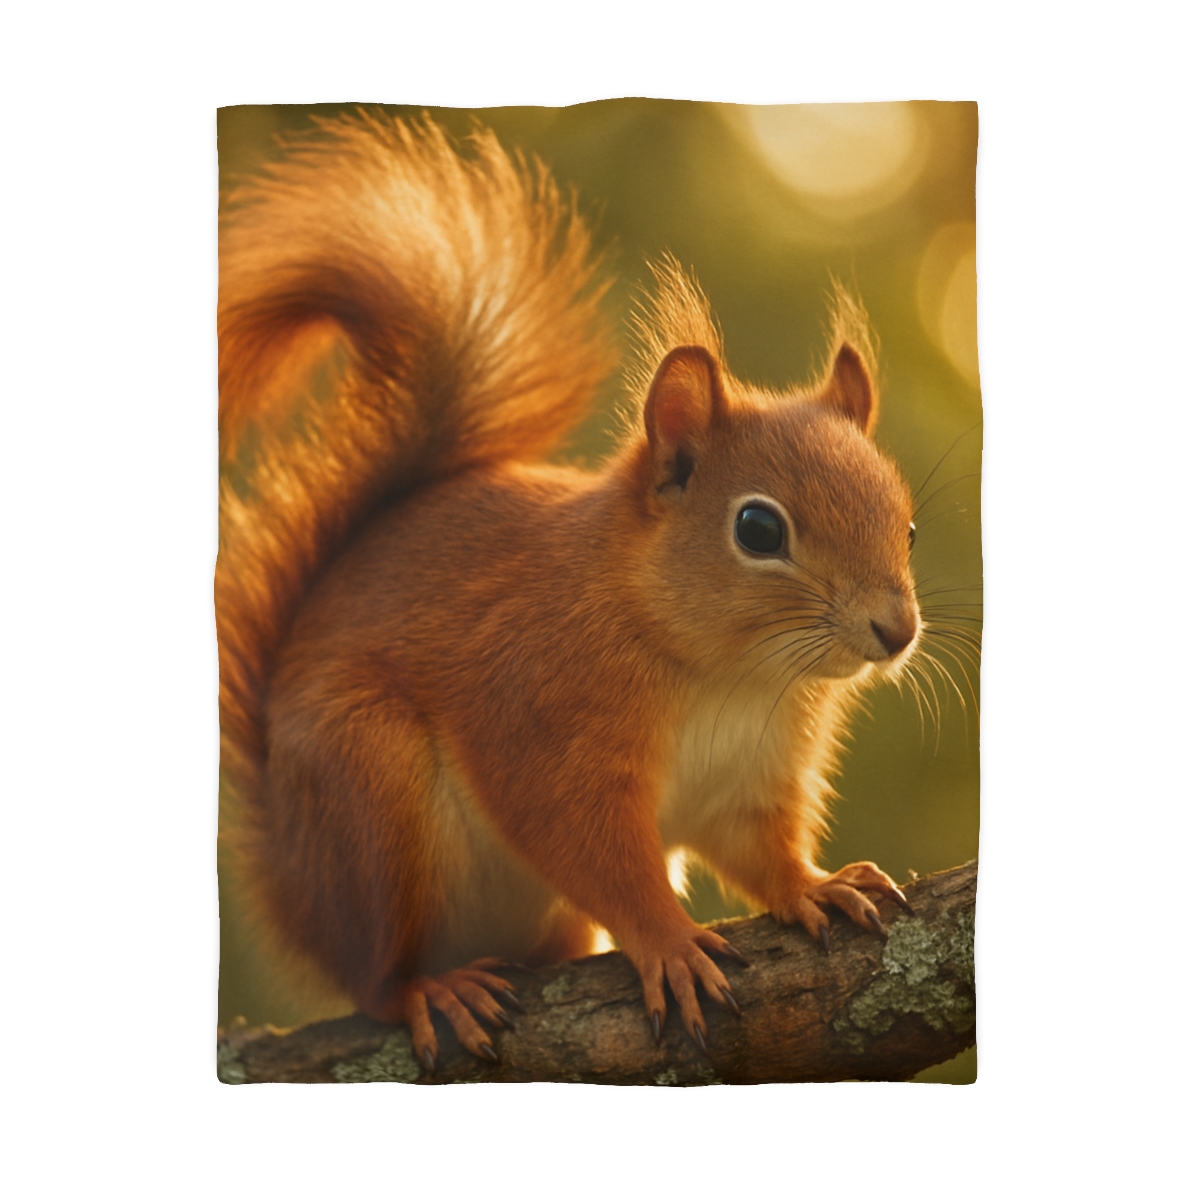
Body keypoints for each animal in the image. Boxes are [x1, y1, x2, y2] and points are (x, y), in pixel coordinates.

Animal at [217, 111, 921, 1071]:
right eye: (758, 530)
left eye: (909, 526)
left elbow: (758, 848)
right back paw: (431, 989)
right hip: (367, 794)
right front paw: (668, 942)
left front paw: (814, 886)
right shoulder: (542, 718)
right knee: (373, 977)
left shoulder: (753, 773)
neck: (729, 673)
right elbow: (593, 851)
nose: (897, 630)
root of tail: (289, 881)